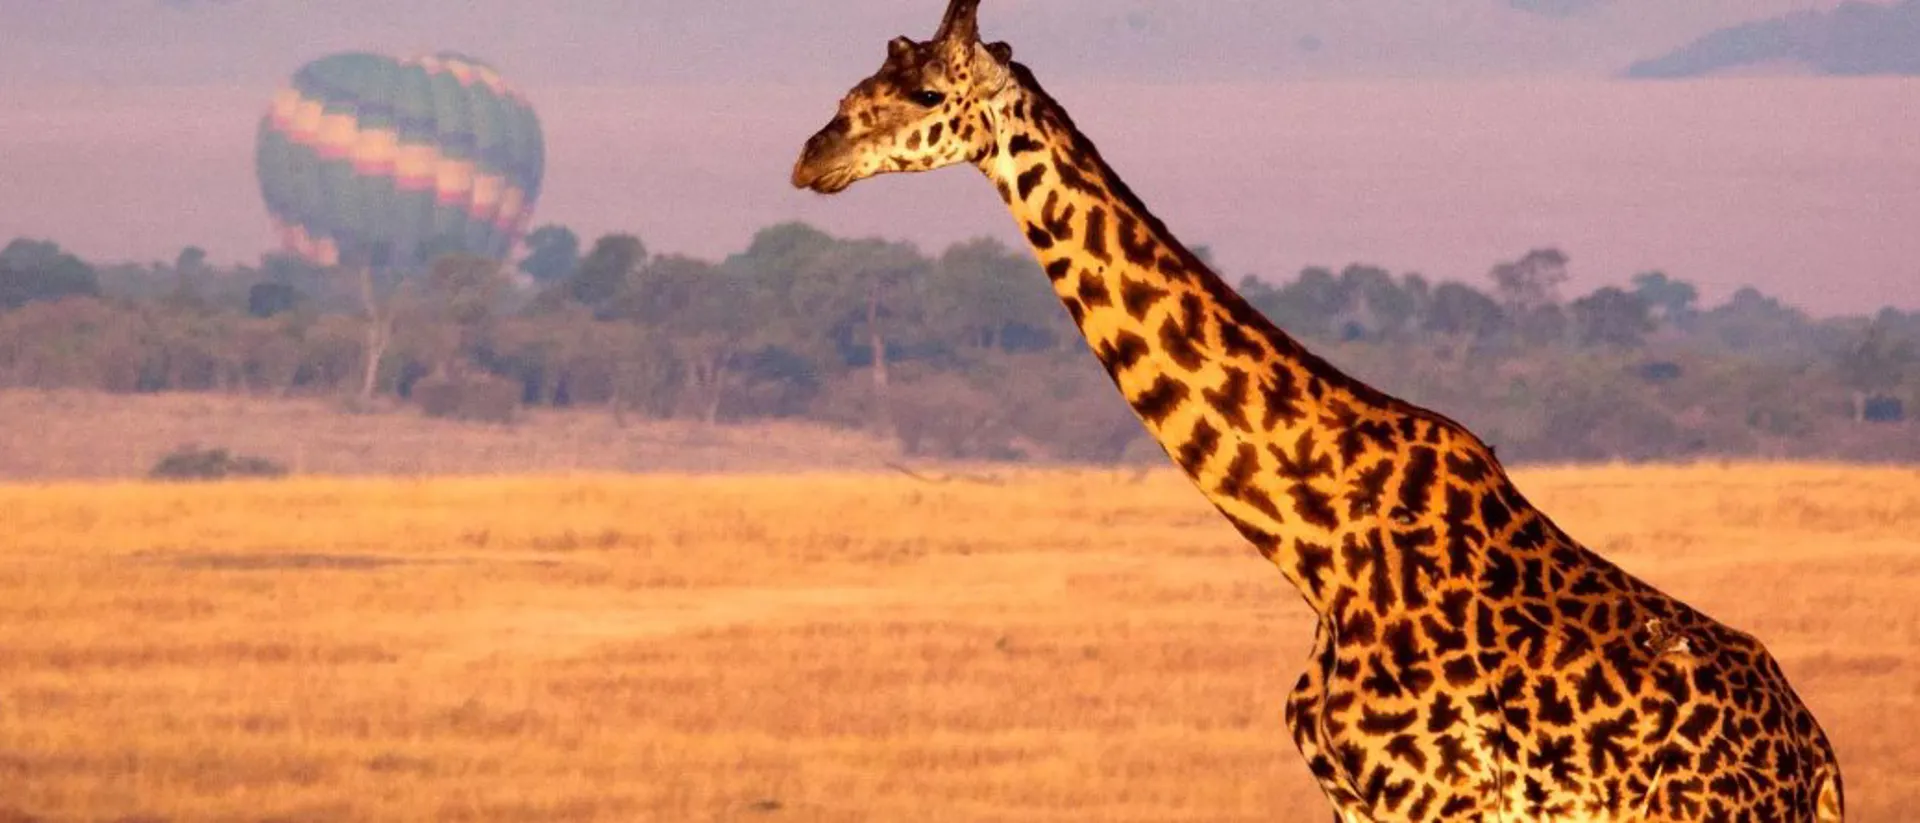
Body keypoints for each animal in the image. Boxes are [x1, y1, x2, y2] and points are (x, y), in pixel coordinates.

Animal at [791, 1, 1845, 819]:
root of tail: (1817, 761)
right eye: (864, 78)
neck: (1315, 539)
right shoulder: (1352, 796)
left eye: (927, 95)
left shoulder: (1436, 798)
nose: (811, 155)